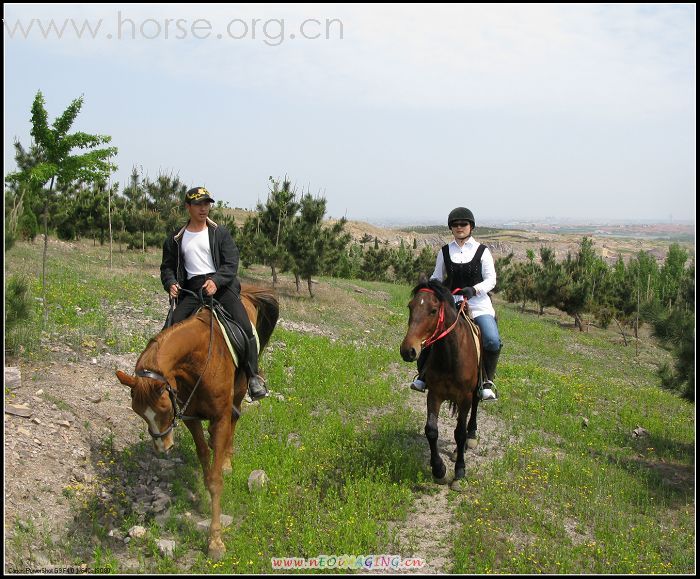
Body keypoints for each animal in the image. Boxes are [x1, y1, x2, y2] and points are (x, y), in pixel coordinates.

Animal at [116, 286, 278, 560]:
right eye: (138, 412)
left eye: (164, 408)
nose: (162, 447)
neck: (198, 361)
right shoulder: (190, 417)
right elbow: (203, 454)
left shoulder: (220, 416)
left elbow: (215, 480)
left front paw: (215, 542)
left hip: (240, 387)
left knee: (236, 416)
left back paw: (227, 459)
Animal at [400, 278, 482, 482]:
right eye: (410, 306)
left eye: (433, 310)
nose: (407, 350)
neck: (451, 357)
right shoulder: (434, 394)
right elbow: (431, 430)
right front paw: (439, 470)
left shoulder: (465, 398)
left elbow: (459, 433)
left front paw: (460, 470)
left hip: (475, 391)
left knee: (475, 408)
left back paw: (470, 438)